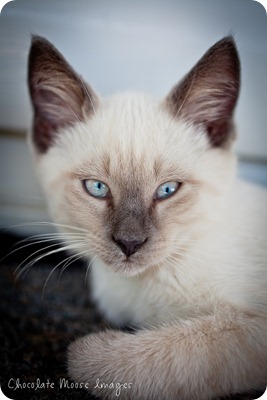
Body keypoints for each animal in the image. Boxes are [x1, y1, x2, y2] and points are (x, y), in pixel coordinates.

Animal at [27, 35, 267, 400]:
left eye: (167, 190)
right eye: (97, 188)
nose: (129, 243)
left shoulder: (250, 326)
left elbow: (177, 351)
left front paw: (84, 353)